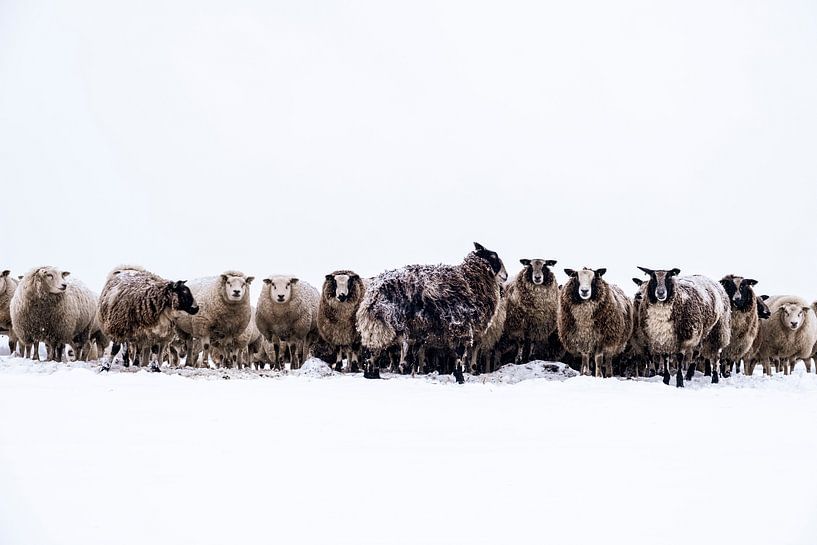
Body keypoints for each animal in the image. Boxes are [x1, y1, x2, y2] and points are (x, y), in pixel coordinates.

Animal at [356, 242, 507, 383]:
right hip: (380, 325)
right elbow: (459, 354)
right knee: (372, 351)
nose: (506, 276)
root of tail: (372, 291)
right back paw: (371, 374)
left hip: (379, 326)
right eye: (493, 256)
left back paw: (373, 375)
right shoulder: (460, 325)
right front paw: (460, 378)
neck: (470, 281)